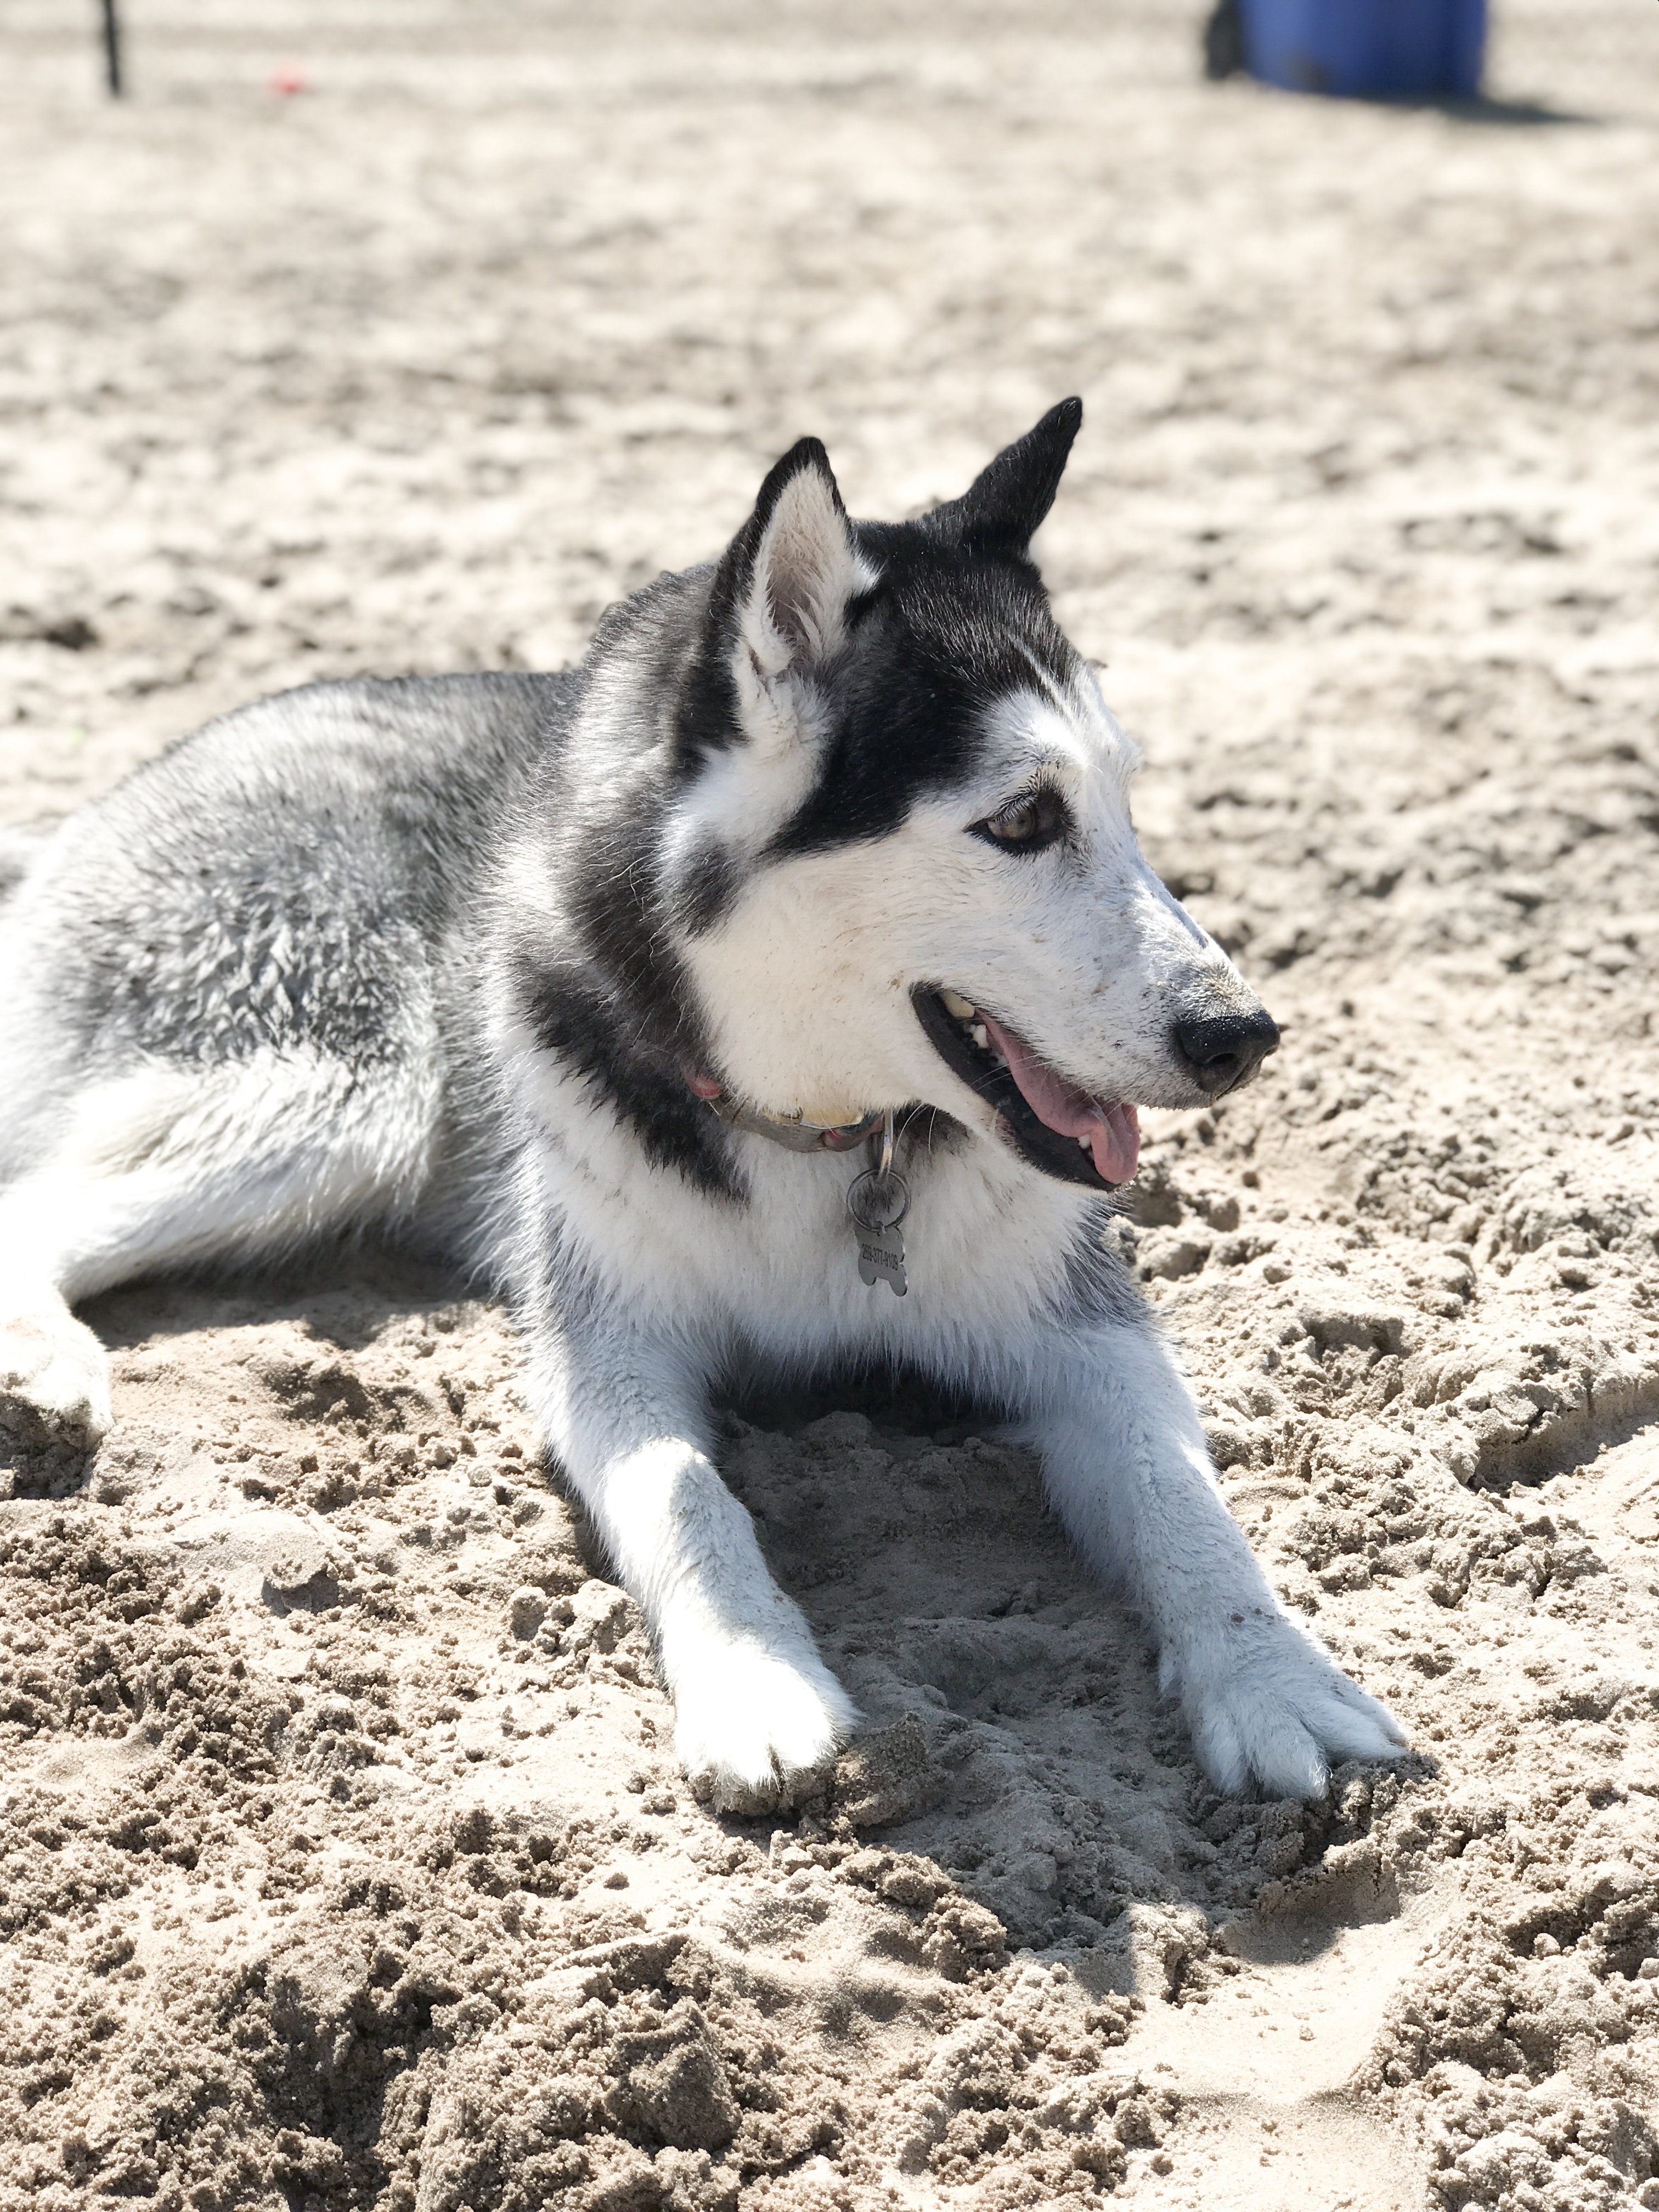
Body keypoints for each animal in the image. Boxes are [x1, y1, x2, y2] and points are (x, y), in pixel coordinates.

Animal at [0, 407, 1407, 1805]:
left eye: (1125, 798)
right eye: (1022, 818)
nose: (1242, 1036)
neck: (832, 1136)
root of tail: (159, 770)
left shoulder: (1083, 1329)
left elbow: (1182, 1494)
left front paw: (1274, 1676)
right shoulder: (606, 1341)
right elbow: (684, 1491)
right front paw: (756, 1682)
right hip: (338, 1091)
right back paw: (45, 1364)